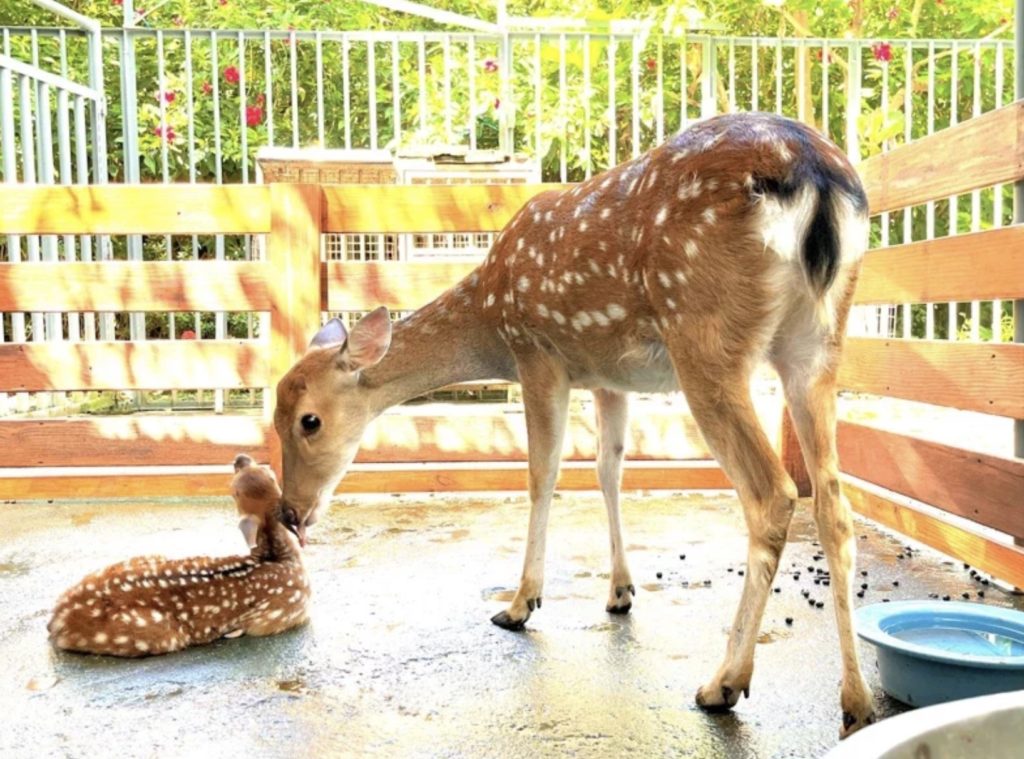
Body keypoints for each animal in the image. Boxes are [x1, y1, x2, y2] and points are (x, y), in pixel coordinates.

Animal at [48, 455, 310, 657]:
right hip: (159, 633)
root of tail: (56, 621)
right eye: (234, 489)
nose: (240, 458)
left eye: (267, 473)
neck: (282, 559)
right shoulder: (280, 615)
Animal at [273, 112, 876, 736]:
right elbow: (609, 471)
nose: (291, 511)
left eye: (308, 421)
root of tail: (814, 172)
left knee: (774, 493)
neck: (490, 316)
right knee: (834, 503)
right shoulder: (610, 377)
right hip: (818, 346)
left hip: (705, 334)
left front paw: (520, 604)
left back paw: (723, 683)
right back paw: (856, 701)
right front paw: (620, 591)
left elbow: (542, 475)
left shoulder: (538, 352)